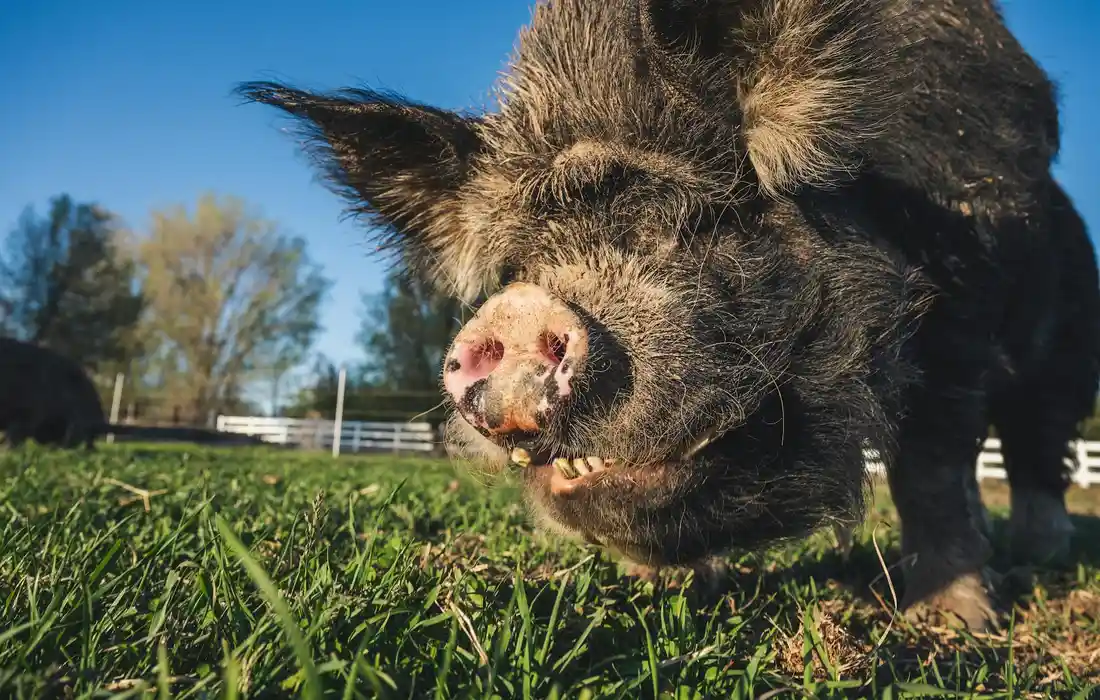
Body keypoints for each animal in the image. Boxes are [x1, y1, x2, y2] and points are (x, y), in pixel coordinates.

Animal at [237, 0, 1100, 632]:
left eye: (691, 222)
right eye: (514, 269)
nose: (514, 313)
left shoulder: (963, 316)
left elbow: (931, 464)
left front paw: (954, 624)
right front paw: (656, 593)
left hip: (1065, 352)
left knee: (1037, 447)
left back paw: (1042, 552)